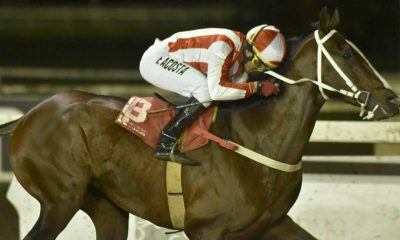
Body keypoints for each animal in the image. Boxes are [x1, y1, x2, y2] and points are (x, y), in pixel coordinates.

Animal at [0, 7, 400, 240]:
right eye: (346, 54)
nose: (391, 100)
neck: (257, 140)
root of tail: (29, 115)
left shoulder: (271, 224)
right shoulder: (207, 229)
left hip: (106, 207)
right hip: (59, 200)